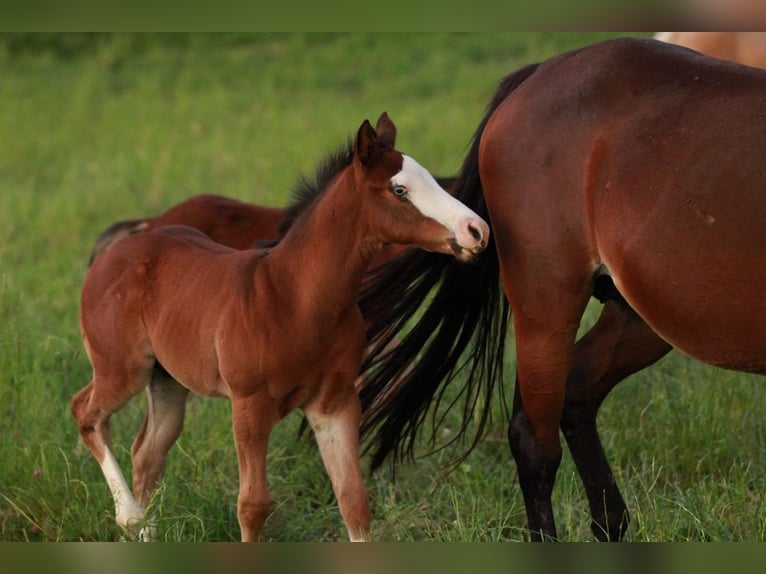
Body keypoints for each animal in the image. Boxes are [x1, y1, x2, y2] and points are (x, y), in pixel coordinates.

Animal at [72, 113, 492, 544]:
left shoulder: (334, 403)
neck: (296, 298)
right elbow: (253, 505)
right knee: (85, 412)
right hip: (124, 369)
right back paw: (129, 516)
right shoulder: (249, 405)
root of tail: (120, 248)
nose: (476, 229)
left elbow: (353, 500)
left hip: (167, 380)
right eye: (400, 188)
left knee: (147, 453)